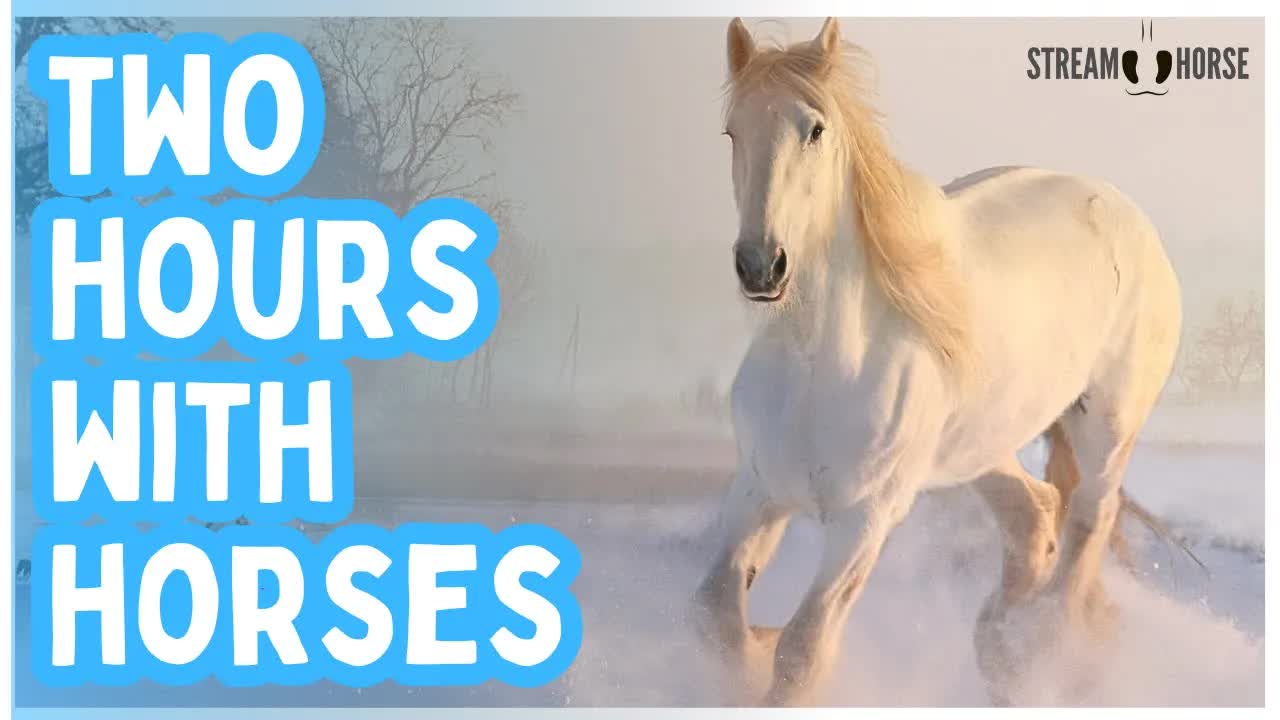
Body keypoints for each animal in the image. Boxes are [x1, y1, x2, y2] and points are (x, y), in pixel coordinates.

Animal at [694, 18, 1182, 706]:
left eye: (815, 129)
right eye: (733, 131)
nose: (762, 266)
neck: (821, 367)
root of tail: (1125, 212)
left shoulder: (864, 520)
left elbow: (803, 650)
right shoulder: (759, 490)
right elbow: (714, 615)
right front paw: (751, 651)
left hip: (1107, 428)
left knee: (1088, 523)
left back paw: (1043, 646)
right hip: (978, 446)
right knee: (1035, 516)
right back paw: (1000, 648)